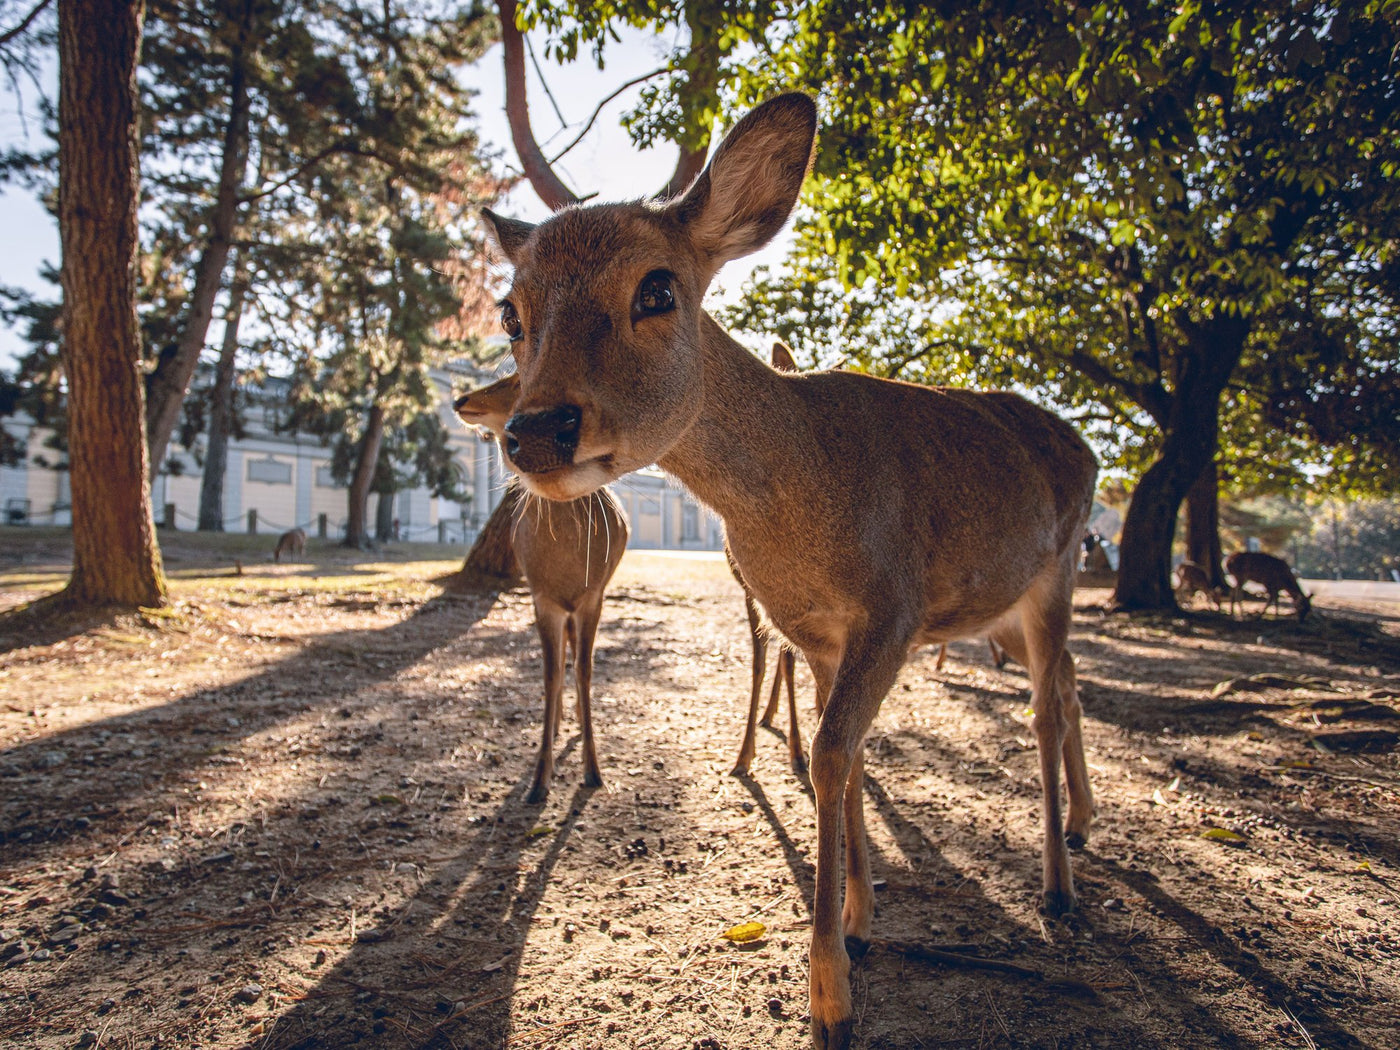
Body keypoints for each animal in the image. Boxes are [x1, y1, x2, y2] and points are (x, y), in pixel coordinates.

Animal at [454, 374, 628, 804]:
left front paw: (593, 770)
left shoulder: (592, 597)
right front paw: (537, 780)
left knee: (575, 656)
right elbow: (549, 675)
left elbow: (585, 669)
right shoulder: (542, 597)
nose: (460, 399)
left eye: (517, 379)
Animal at [480, 92, 1097, 1049]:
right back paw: (1082, 829)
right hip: (1012, 604)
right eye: (512, 312)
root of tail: (1090, 450)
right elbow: (839, 751)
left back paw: (1059, 887)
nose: (537, 432)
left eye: (658, 288)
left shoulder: (893, 607)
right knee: (1067, 683)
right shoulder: (809, 628)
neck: (799, 507)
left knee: (1045, 703)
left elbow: (834, 752)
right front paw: (862, 921)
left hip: (1058, 569)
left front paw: (831, 996)